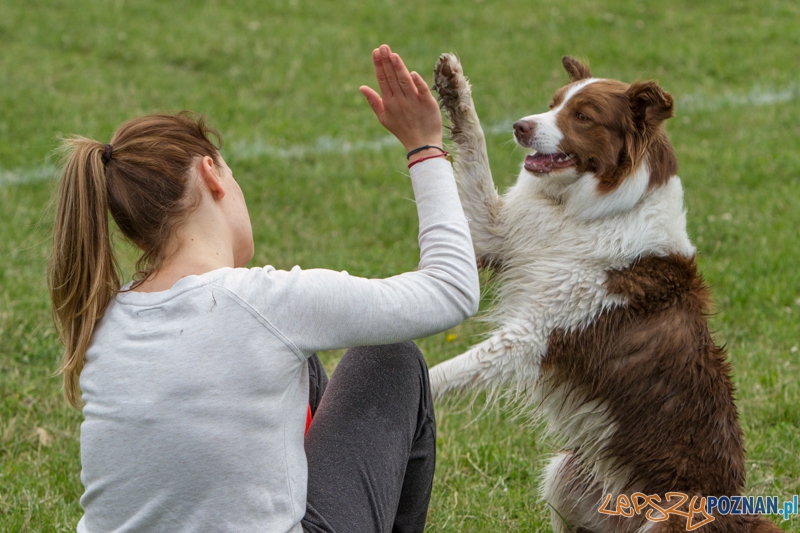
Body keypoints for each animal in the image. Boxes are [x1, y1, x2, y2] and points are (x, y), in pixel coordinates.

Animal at [432, 54, 780, 532]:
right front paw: (452, 86)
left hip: (668, 516)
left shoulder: (535, 333)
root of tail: (738, 506)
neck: (589, 212)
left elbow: (447, 371)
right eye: (553, 104)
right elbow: (473, 148)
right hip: (565, 473)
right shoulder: (495, 234)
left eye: (583, 116)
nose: (521, 126)